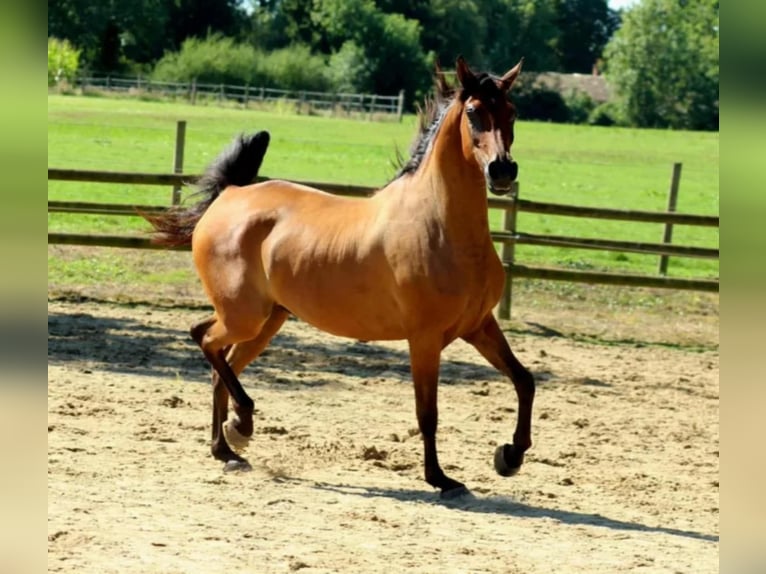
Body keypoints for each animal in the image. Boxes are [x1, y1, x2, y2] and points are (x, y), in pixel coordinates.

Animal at [145, 57, 534, 498]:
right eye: (473, 112)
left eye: (512, 112)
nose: (502, 171)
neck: (441, 226)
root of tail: (230, 194)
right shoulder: (425, 338)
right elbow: (428, 412)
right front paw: (441, 478)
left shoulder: (479, 325)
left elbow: (525, 381)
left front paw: (509, 456)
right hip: (245, 316)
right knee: (206, 341)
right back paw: (242, 424)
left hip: (264, 319)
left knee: (217, 359)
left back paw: (226, 449)